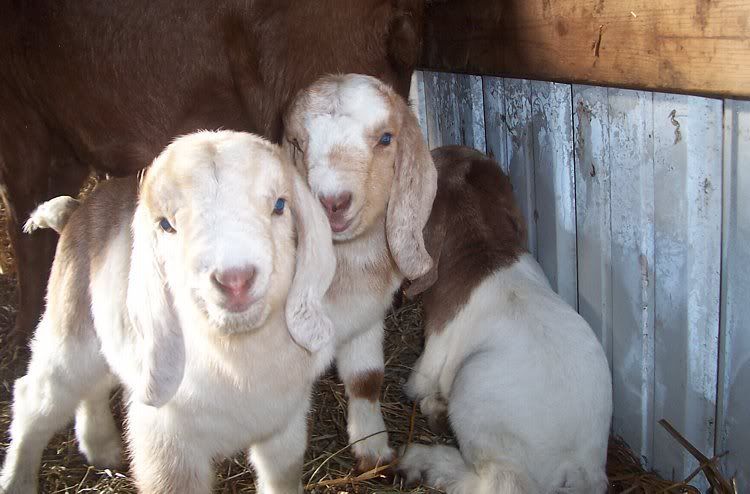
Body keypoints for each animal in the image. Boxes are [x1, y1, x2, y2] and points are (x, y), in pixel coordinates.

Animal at [0, 131, 336, 494]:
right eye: (165, 225)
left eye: (279, 205)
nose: (234, 280)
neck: (238, 362)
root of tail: (75, 213)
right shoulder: (166, 447)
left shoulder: (284, 428)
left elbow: (283, 476)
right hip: (69, 333)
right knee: (35, 397)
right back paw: (17, 479)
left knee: (94, 385)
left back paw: (102, 447)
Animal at [282, 73, 438, 471]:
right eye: (298, 144)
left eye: (386, 138)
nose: (332, 202)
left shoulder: (367, 321)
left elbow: (366, 379)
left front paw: (373, 447)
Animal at [398, 146, 612, 494]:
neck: (484, 247)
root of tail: (577, 466)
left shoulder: (431, 355)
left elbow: (417, 386)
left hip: (471, 387)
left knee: (499, 480)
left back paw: (421, 458)